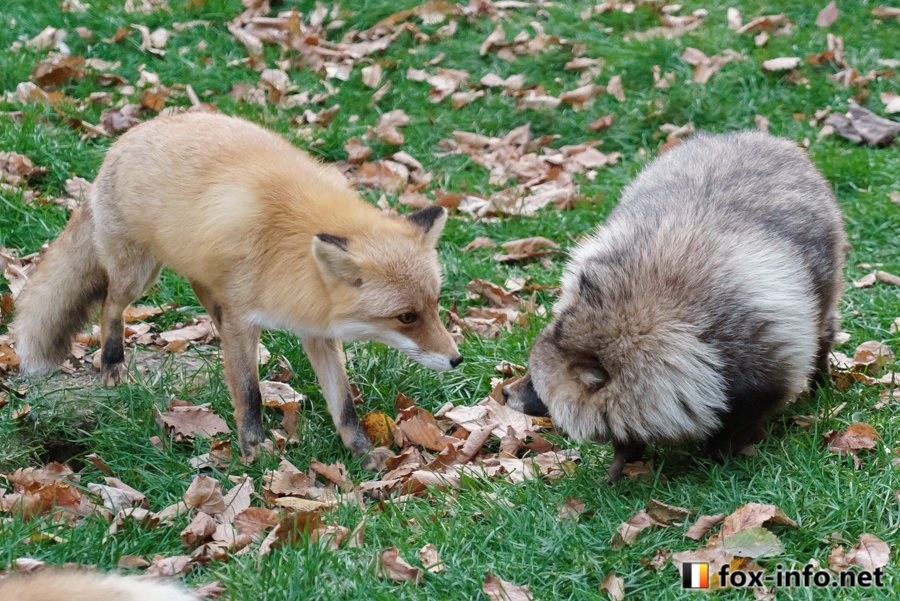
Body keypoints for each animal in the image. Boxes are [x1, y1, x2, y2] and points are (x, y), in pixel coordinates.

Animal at [12, 111, 464, 464]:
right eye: (406, 317)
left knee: (204, 300)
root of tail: (123, 140)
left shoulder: (316, 329)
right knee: (109, 304)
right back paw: (111, 362)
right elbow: (249, 395)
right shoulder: (246, 318)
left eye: (435, 305)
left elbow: (344, 404)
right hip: (137, 274)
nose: (457, 359)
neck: (288, 248)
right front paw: (255, 453)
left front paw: (362, 452)